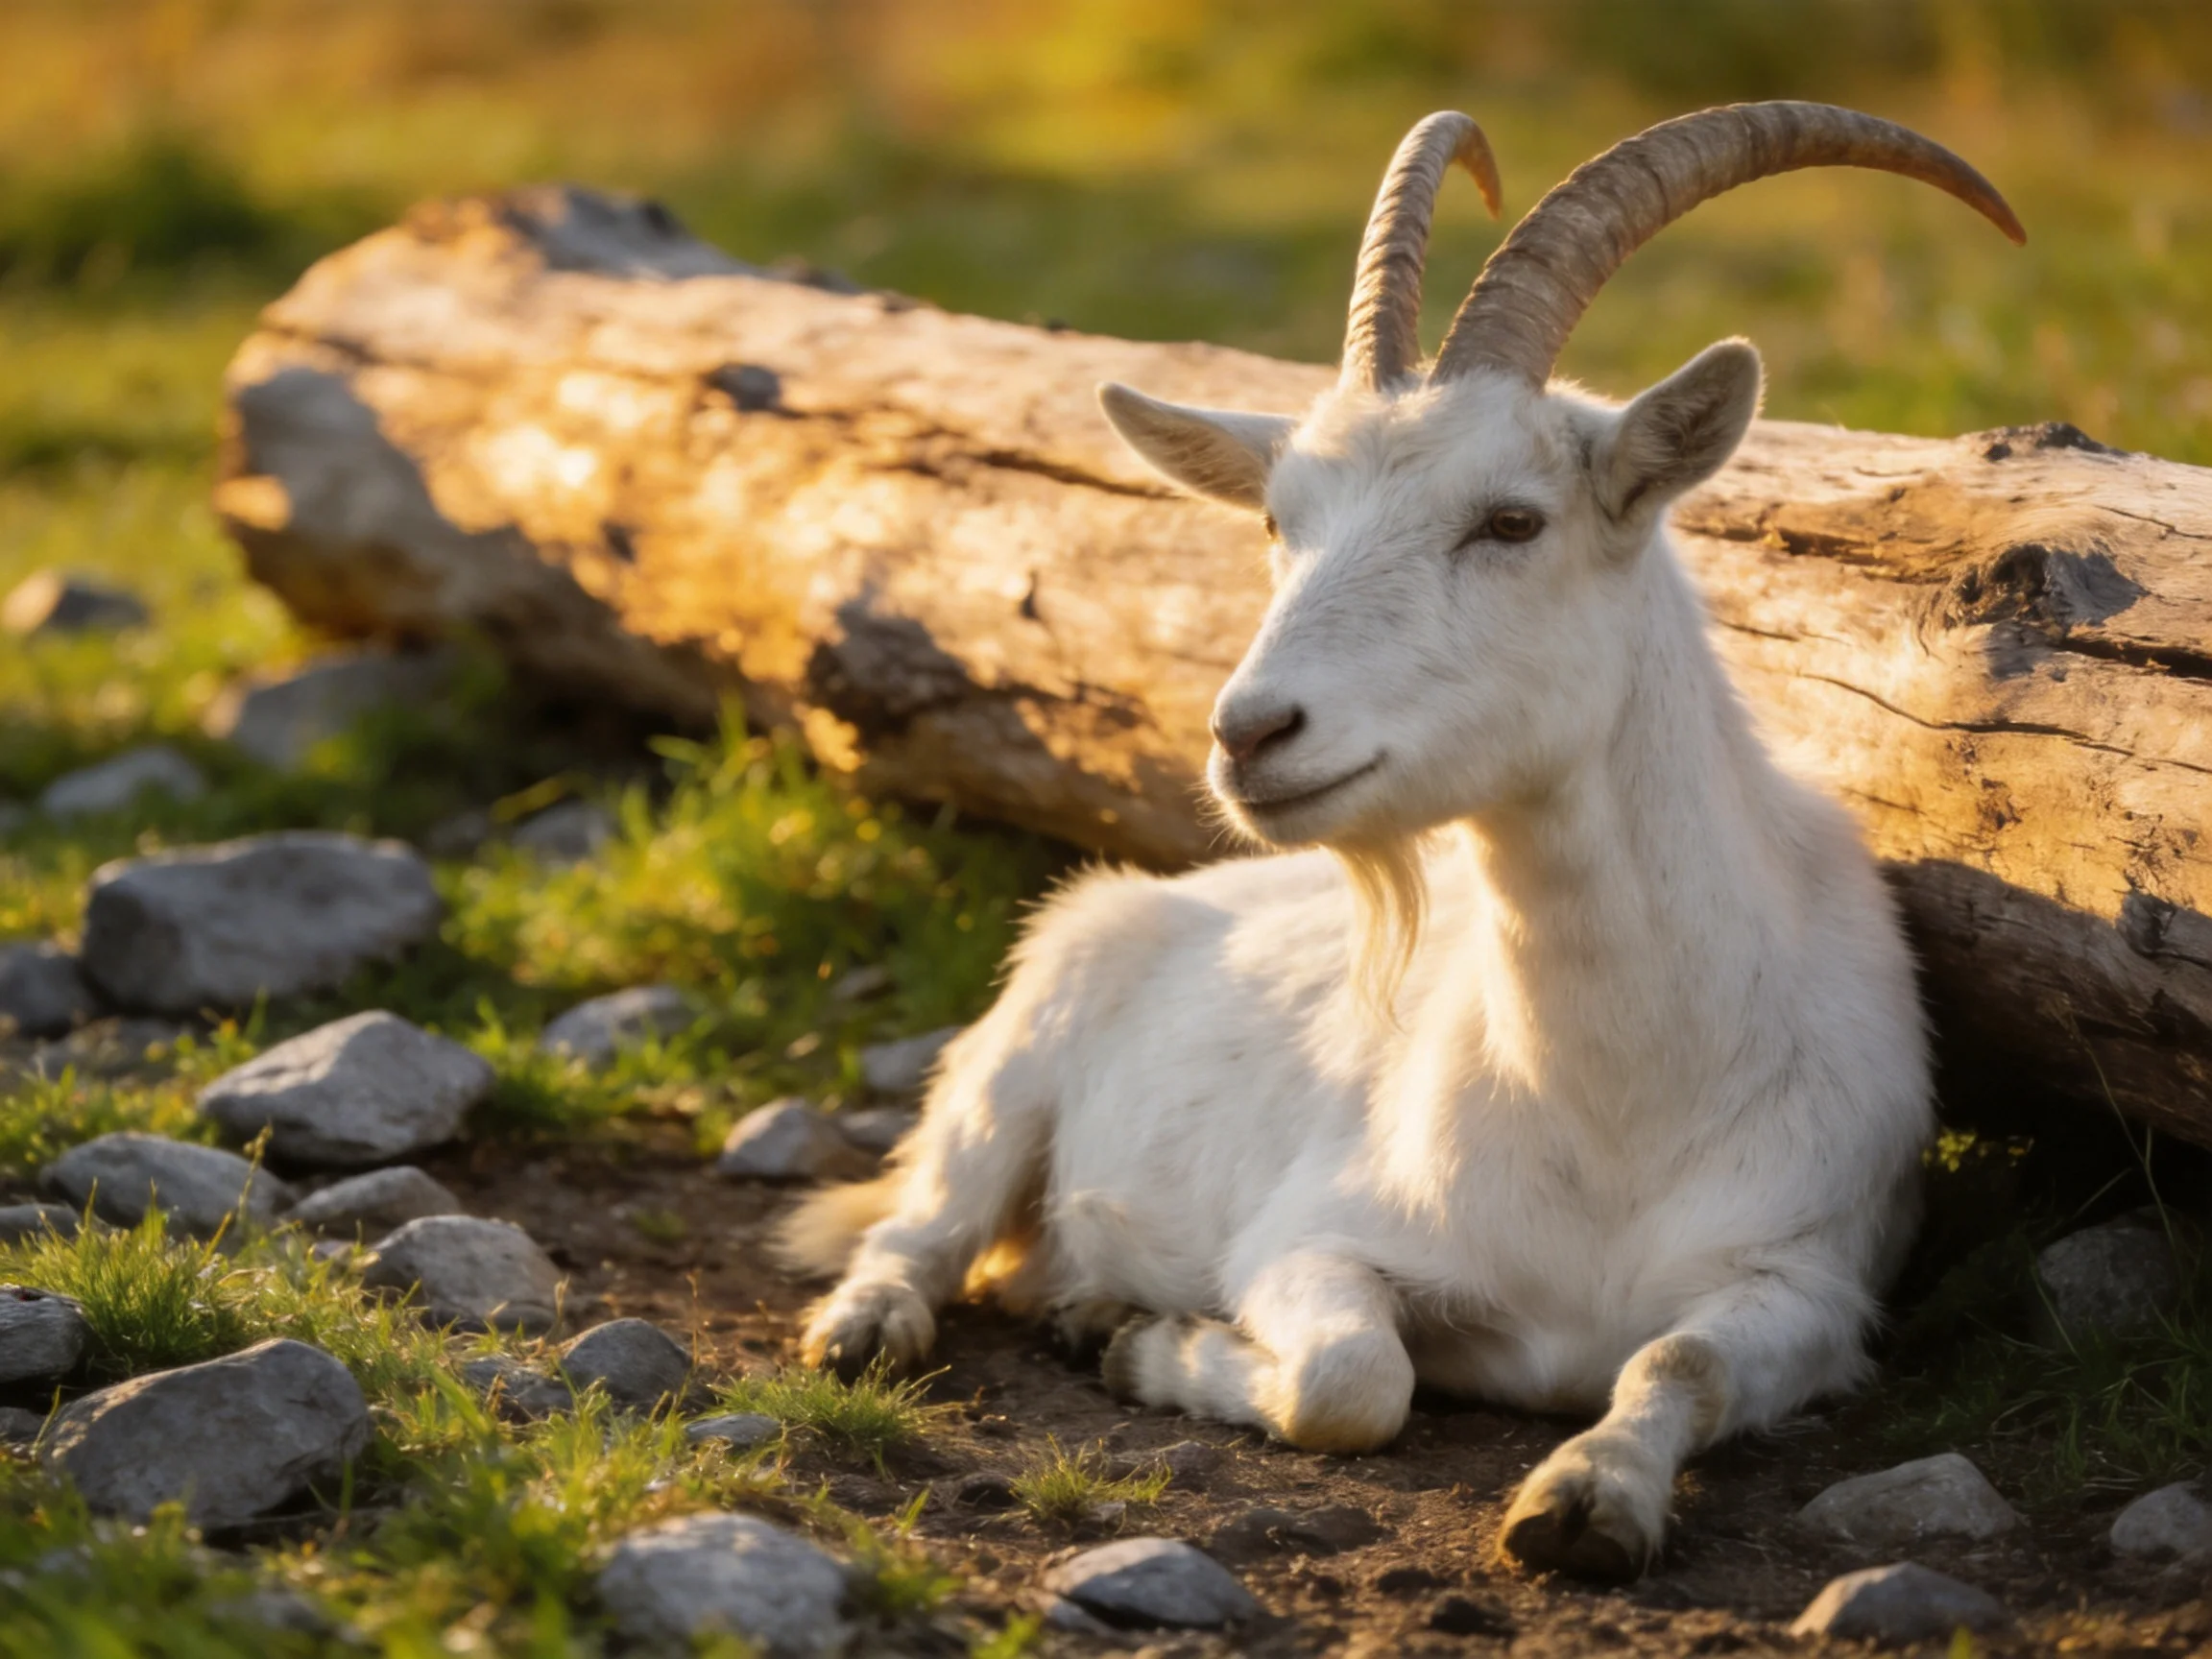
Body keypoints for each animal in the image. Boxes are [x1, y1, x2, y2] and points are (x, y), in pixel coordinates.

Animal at [783, 102, 2023, 1580]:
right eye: (1279, 522)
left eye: (1512, 520)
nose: (1251, 733)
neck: (1621, 1102)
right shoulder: (1312, 1237)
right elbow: (1351, 1382)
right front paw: (1151, 1345)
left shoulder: (1813, 1284)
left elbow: (1678, 1362)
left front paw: (1587, 1500)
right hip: (1015, 1049)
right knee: (921, 1225)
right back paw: (882, 1327)